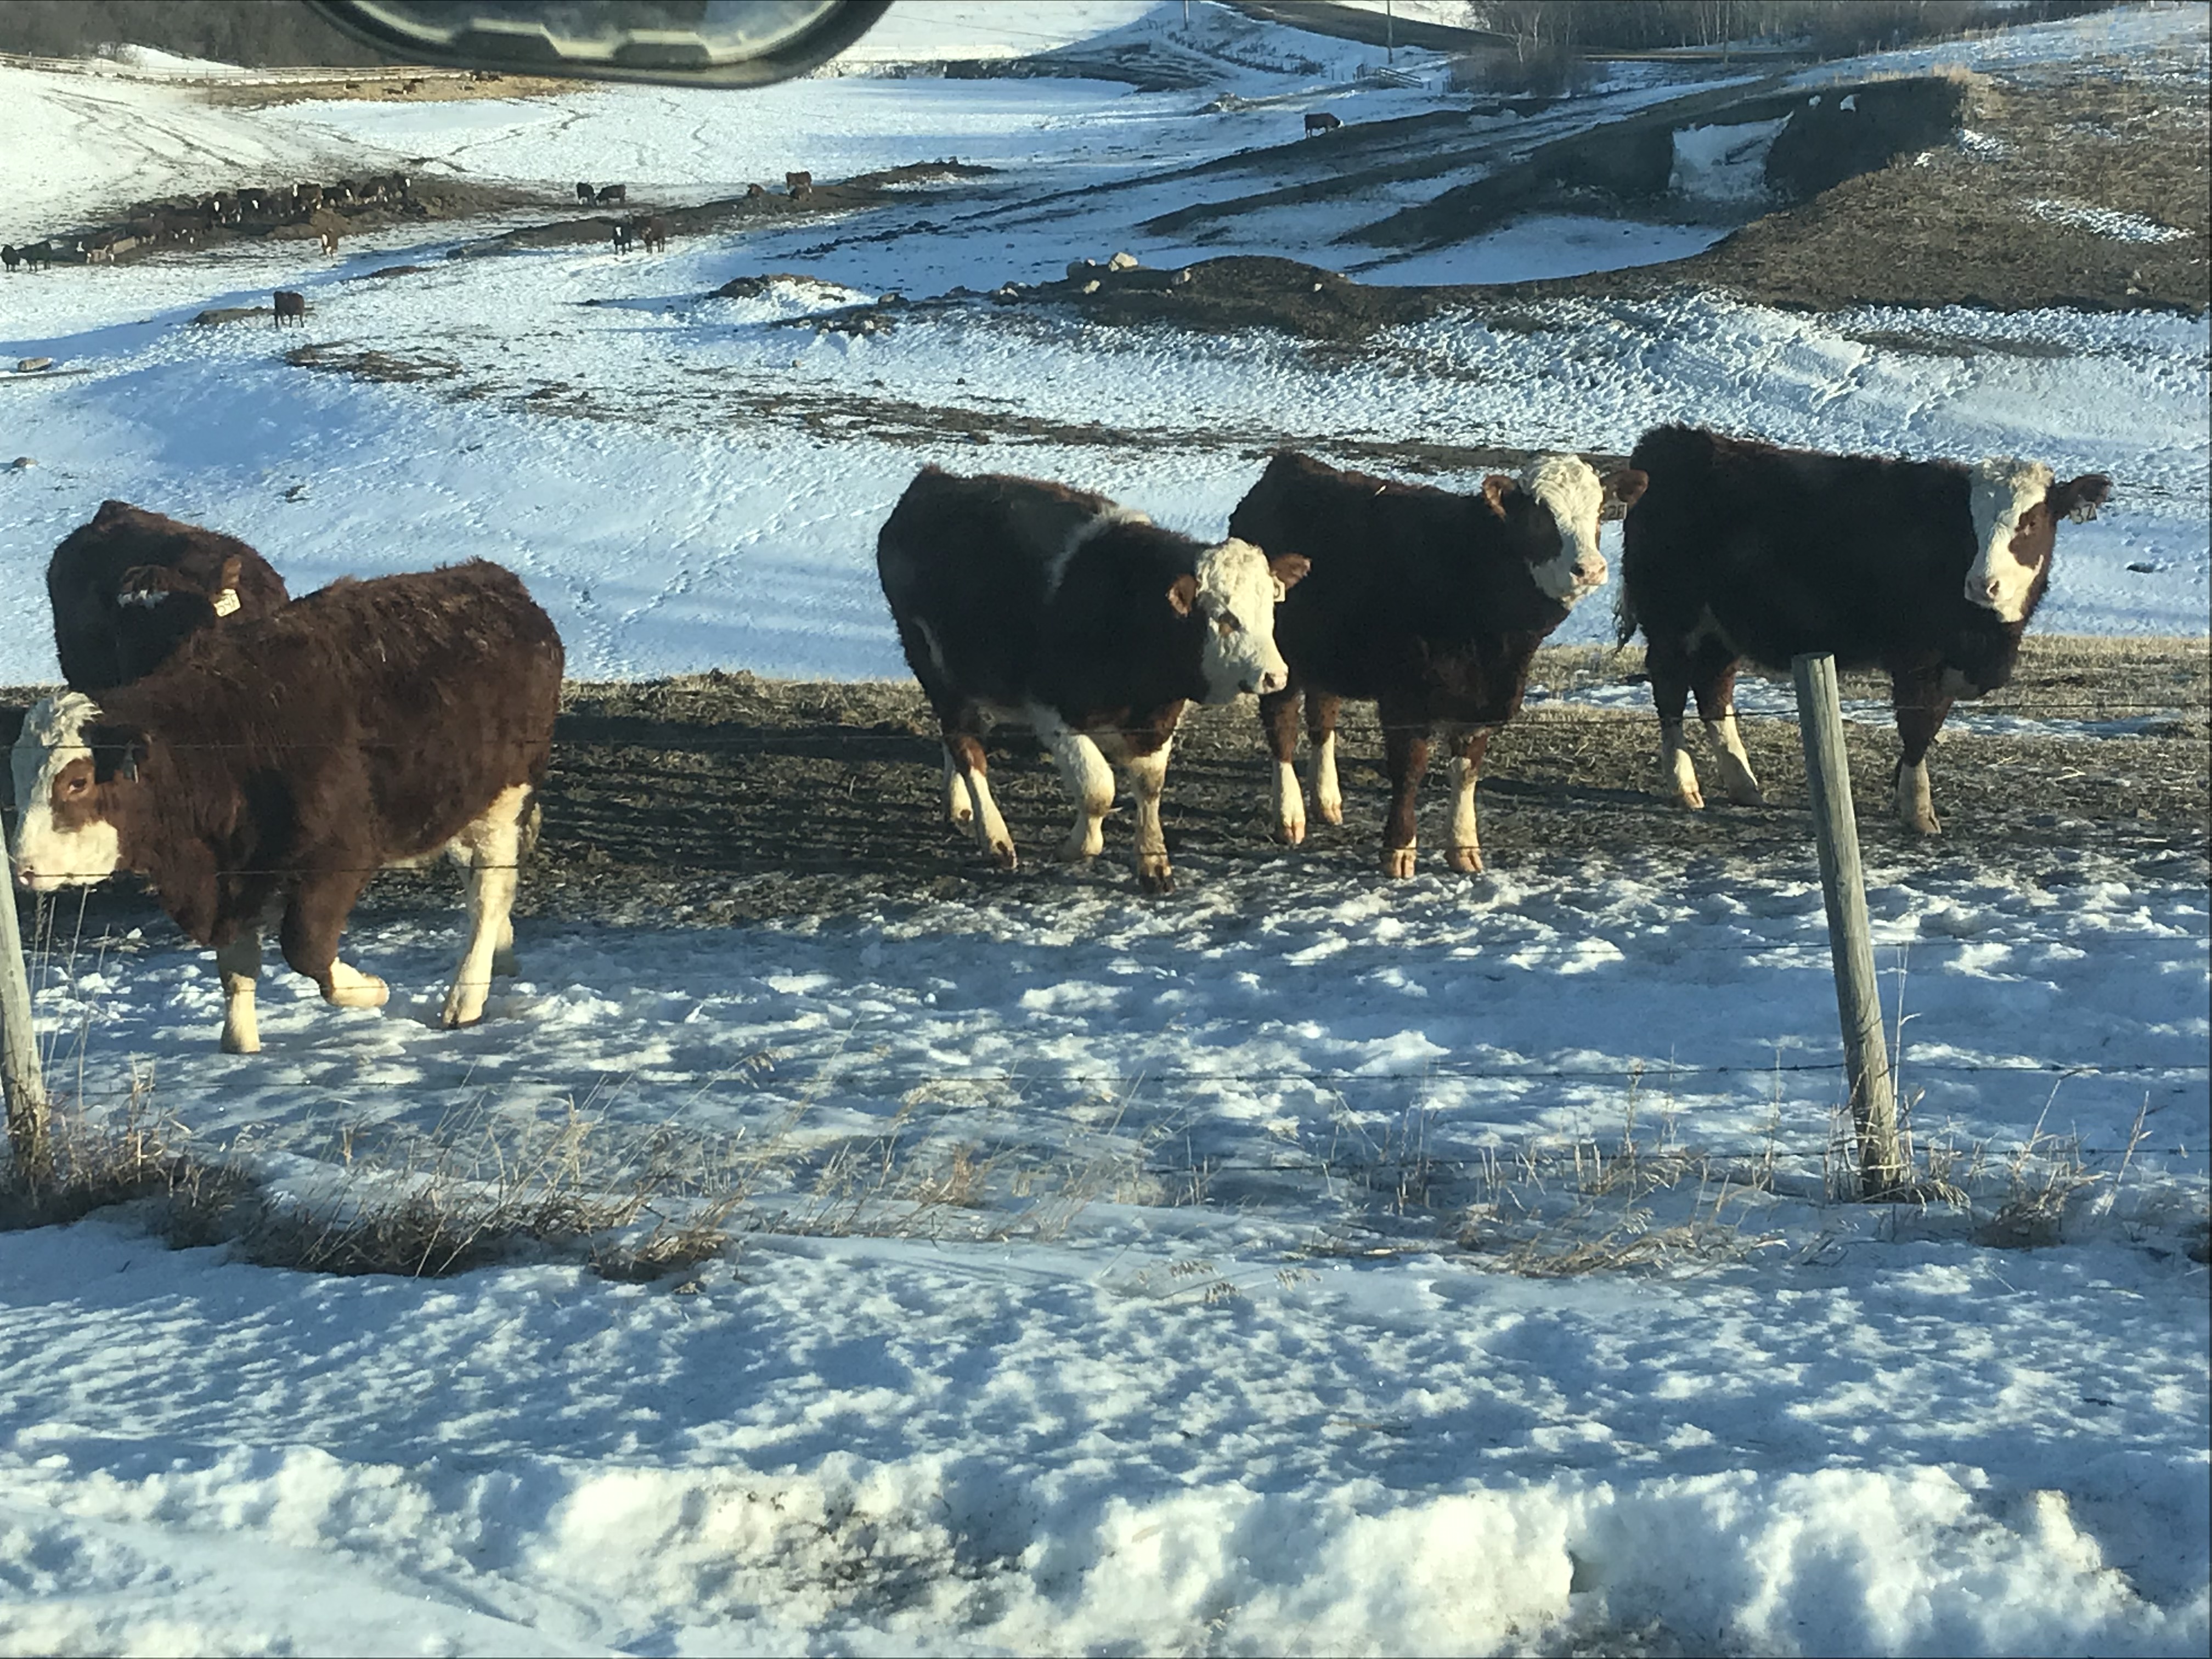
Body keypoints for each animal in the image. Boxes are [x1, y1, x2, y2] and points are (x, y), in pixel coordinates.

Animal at [10, 561, 563, 1052]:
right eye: (16, 777)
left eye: (77, 782)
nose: (22, 866)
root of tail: (495, 582)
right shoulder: (230, 875)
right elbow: (236, 965)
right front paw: (242, 1045)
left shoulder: (340, 854)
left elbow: (307, 947)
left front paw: (369, 989)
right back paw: (501, 959)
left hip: (503, 802)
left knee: (489, 893)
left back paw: (465, 998)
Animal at [877, 466, 1307, 894]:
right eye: (1225, 617)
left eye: (1271, 608)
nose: (1275, 676)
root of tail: (933, 480)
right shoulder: (1053, 712)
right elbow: (1098, 788)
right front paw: (1077, 848)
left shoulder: (1156, 720)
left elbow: (1150, 786)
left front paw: (1154, 864)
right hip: (937, 672)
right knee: (966, 747)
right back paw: (996, 841)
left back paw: (959, 806)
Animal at [1228, 450, 1646, 877]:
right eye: (1539, 516)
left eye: (1600, 512)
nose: (1590, 569)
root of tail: (1289, 463)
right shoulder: (1405, 698)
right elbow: (1409, 770)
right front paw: (1399, 850)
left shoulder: (1482, 703)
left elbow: (1466, 772)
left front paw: (1464, 847)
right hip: (1278, 658)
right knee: (1282, 728)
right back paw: (1289, 816)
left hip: (1327, 656)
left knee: (1322, 717)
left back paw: (1327, 801)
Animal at [1616, 425, 2112, 834]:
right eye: (1969, 524)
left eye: (2031, 521)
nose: (1981, 584)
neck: (1986, 639)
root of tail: (1671, 439)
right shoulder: (1916, 657)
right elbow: (1917, 726)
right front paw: (1918, 812)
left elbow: (1932, 725)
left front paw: (1902, 797)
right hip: (1671, 618)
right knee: (1670, 693)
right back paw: (1684, 787)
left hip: (1720, 628)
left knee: (1713, 692)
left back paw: (1744, 785)